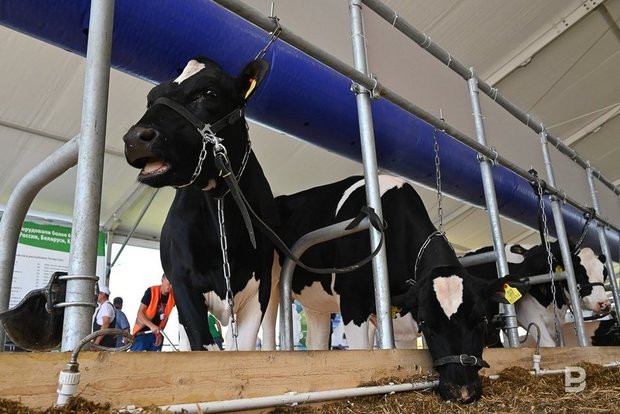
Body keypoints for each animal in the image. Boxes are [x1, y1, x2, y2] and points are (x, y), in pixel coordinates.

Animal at [123, 57, 279, 351]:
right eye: (151, 99)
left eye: (208, 92)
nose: (134, 138)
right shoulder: (183, 285)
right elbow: (204, 347)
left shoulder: (260, 287)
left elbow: (243, 349)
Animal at [276, 174, 521, 402]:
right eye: (426, 324)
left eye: (482, 320)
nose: (462, 392)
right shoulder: (352, 302)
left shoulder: (402, 323)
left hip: (317, 305)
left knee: (315, 341)